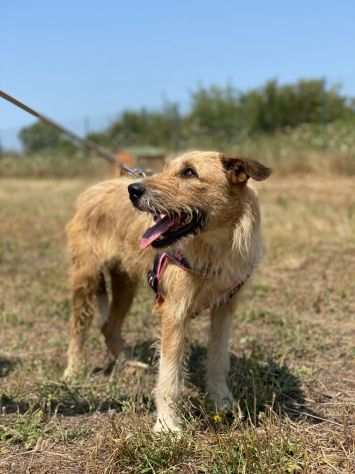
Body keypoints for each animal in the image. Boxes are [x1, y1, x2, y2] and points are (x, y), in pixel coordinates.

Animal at [64, 150, 272, 432]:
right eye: (166, 169)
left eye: (189, 172)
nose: (133, 190)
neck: (215, 247)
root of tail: (91, 191)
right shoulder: (174, 312)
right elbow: (170, 376)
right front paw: (167, 426)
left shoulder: (224, 309)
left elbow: (218, 360)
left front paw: (222, 402)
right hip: (86, 279)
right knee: (78, 327)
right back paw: (73, 371)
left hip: (125, 283)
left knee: (109, 326)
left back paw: (127, 364)